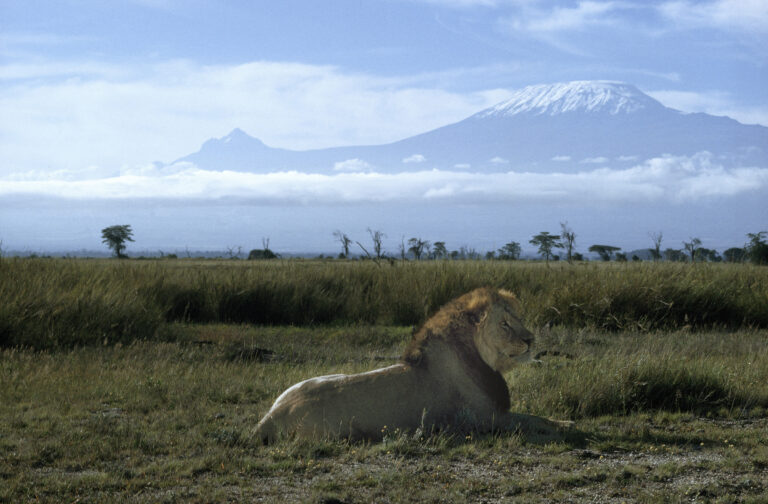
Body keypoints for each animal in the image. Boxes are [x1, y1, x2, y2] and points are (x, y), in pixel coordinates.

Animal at [253, 287, 537, 444]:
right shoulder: (490, 419)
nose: (531, 339)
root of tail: (270, 416)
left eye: (520, 318)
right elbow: (541, 422)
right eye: (504, 324)